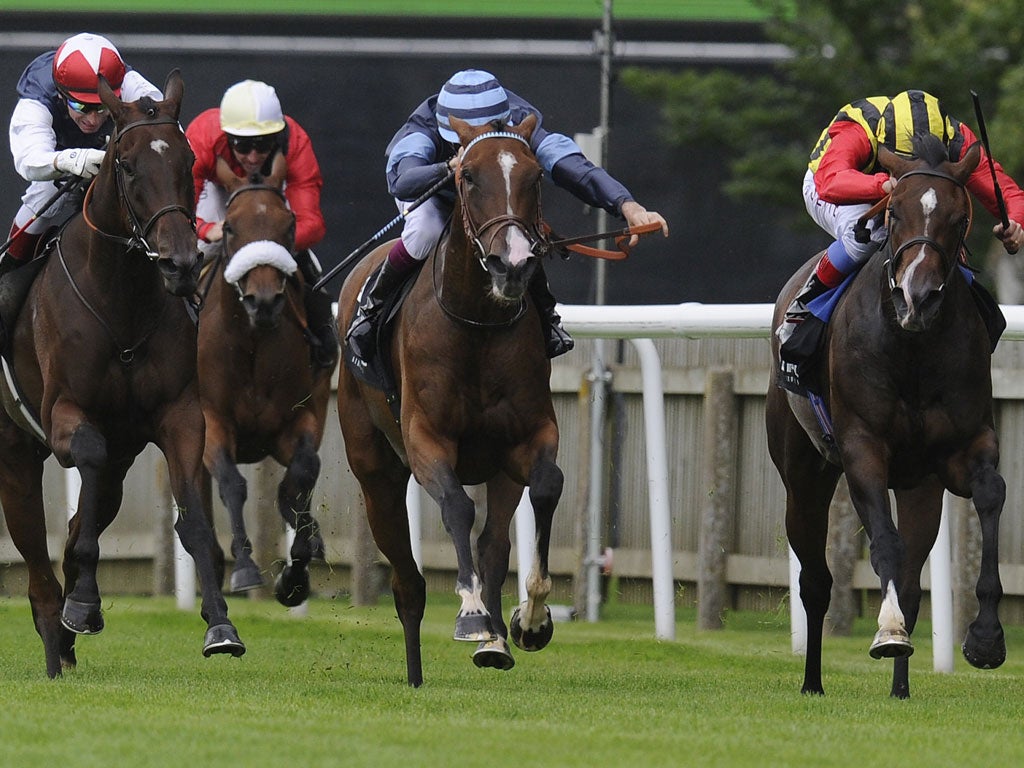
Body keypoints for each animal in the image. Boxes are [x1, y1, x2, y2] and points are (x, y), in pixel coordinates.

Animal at [0, 69, 245, 675]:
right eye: (127, 164)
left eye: (187, 161)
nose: (181, 262)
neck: (121, 301)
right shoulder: (65, 412)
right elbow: (84, 463)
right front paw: (83, 603)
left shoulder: (180, 415)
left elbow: (194, 517)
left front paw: (220, 624)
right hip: (15, 454)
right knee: (35, 553)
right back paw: (55, 632)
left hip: (121, 459)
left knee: (82, 517)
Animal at [197, 151, 329, 606]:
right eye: (230, 227)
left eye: (288, 225)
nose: (265, 301)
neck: (251, 342)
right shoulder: (213, 422)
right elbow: (232, 484)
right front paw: (244, 567)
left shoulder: (299, 420)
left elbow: (301, 477)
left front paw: (296, 575)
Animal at [335, 115, 565, 692]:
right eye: (467, 178)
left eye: (535, 177)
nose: (513, 264)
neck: (477, 325)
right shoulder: (426, 439)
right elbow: (457, 507)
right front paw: (470, 614)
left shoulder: (530, 435)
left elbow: (546, 486)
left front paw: (530, 619)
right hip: (374, 472)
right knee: (407, 581)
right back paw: (418, 670)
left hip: (499, 470)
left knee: (494, 545)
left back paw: (496, 646)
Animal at [765, 135, 1003, 700]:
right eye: (893, 212)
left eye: (960, 219)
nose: (917, 297)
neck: (911, 347)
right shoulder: (862, 449)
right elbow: (885, 544)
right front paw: (888, 632)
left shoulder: (963, 449)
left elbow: (990, 494)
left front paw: (986, 638)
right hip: (802, 474)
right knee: (815, 581)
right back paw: (812, 682)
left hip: (920, 488)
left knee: (914, 581)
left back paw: (900, 690)